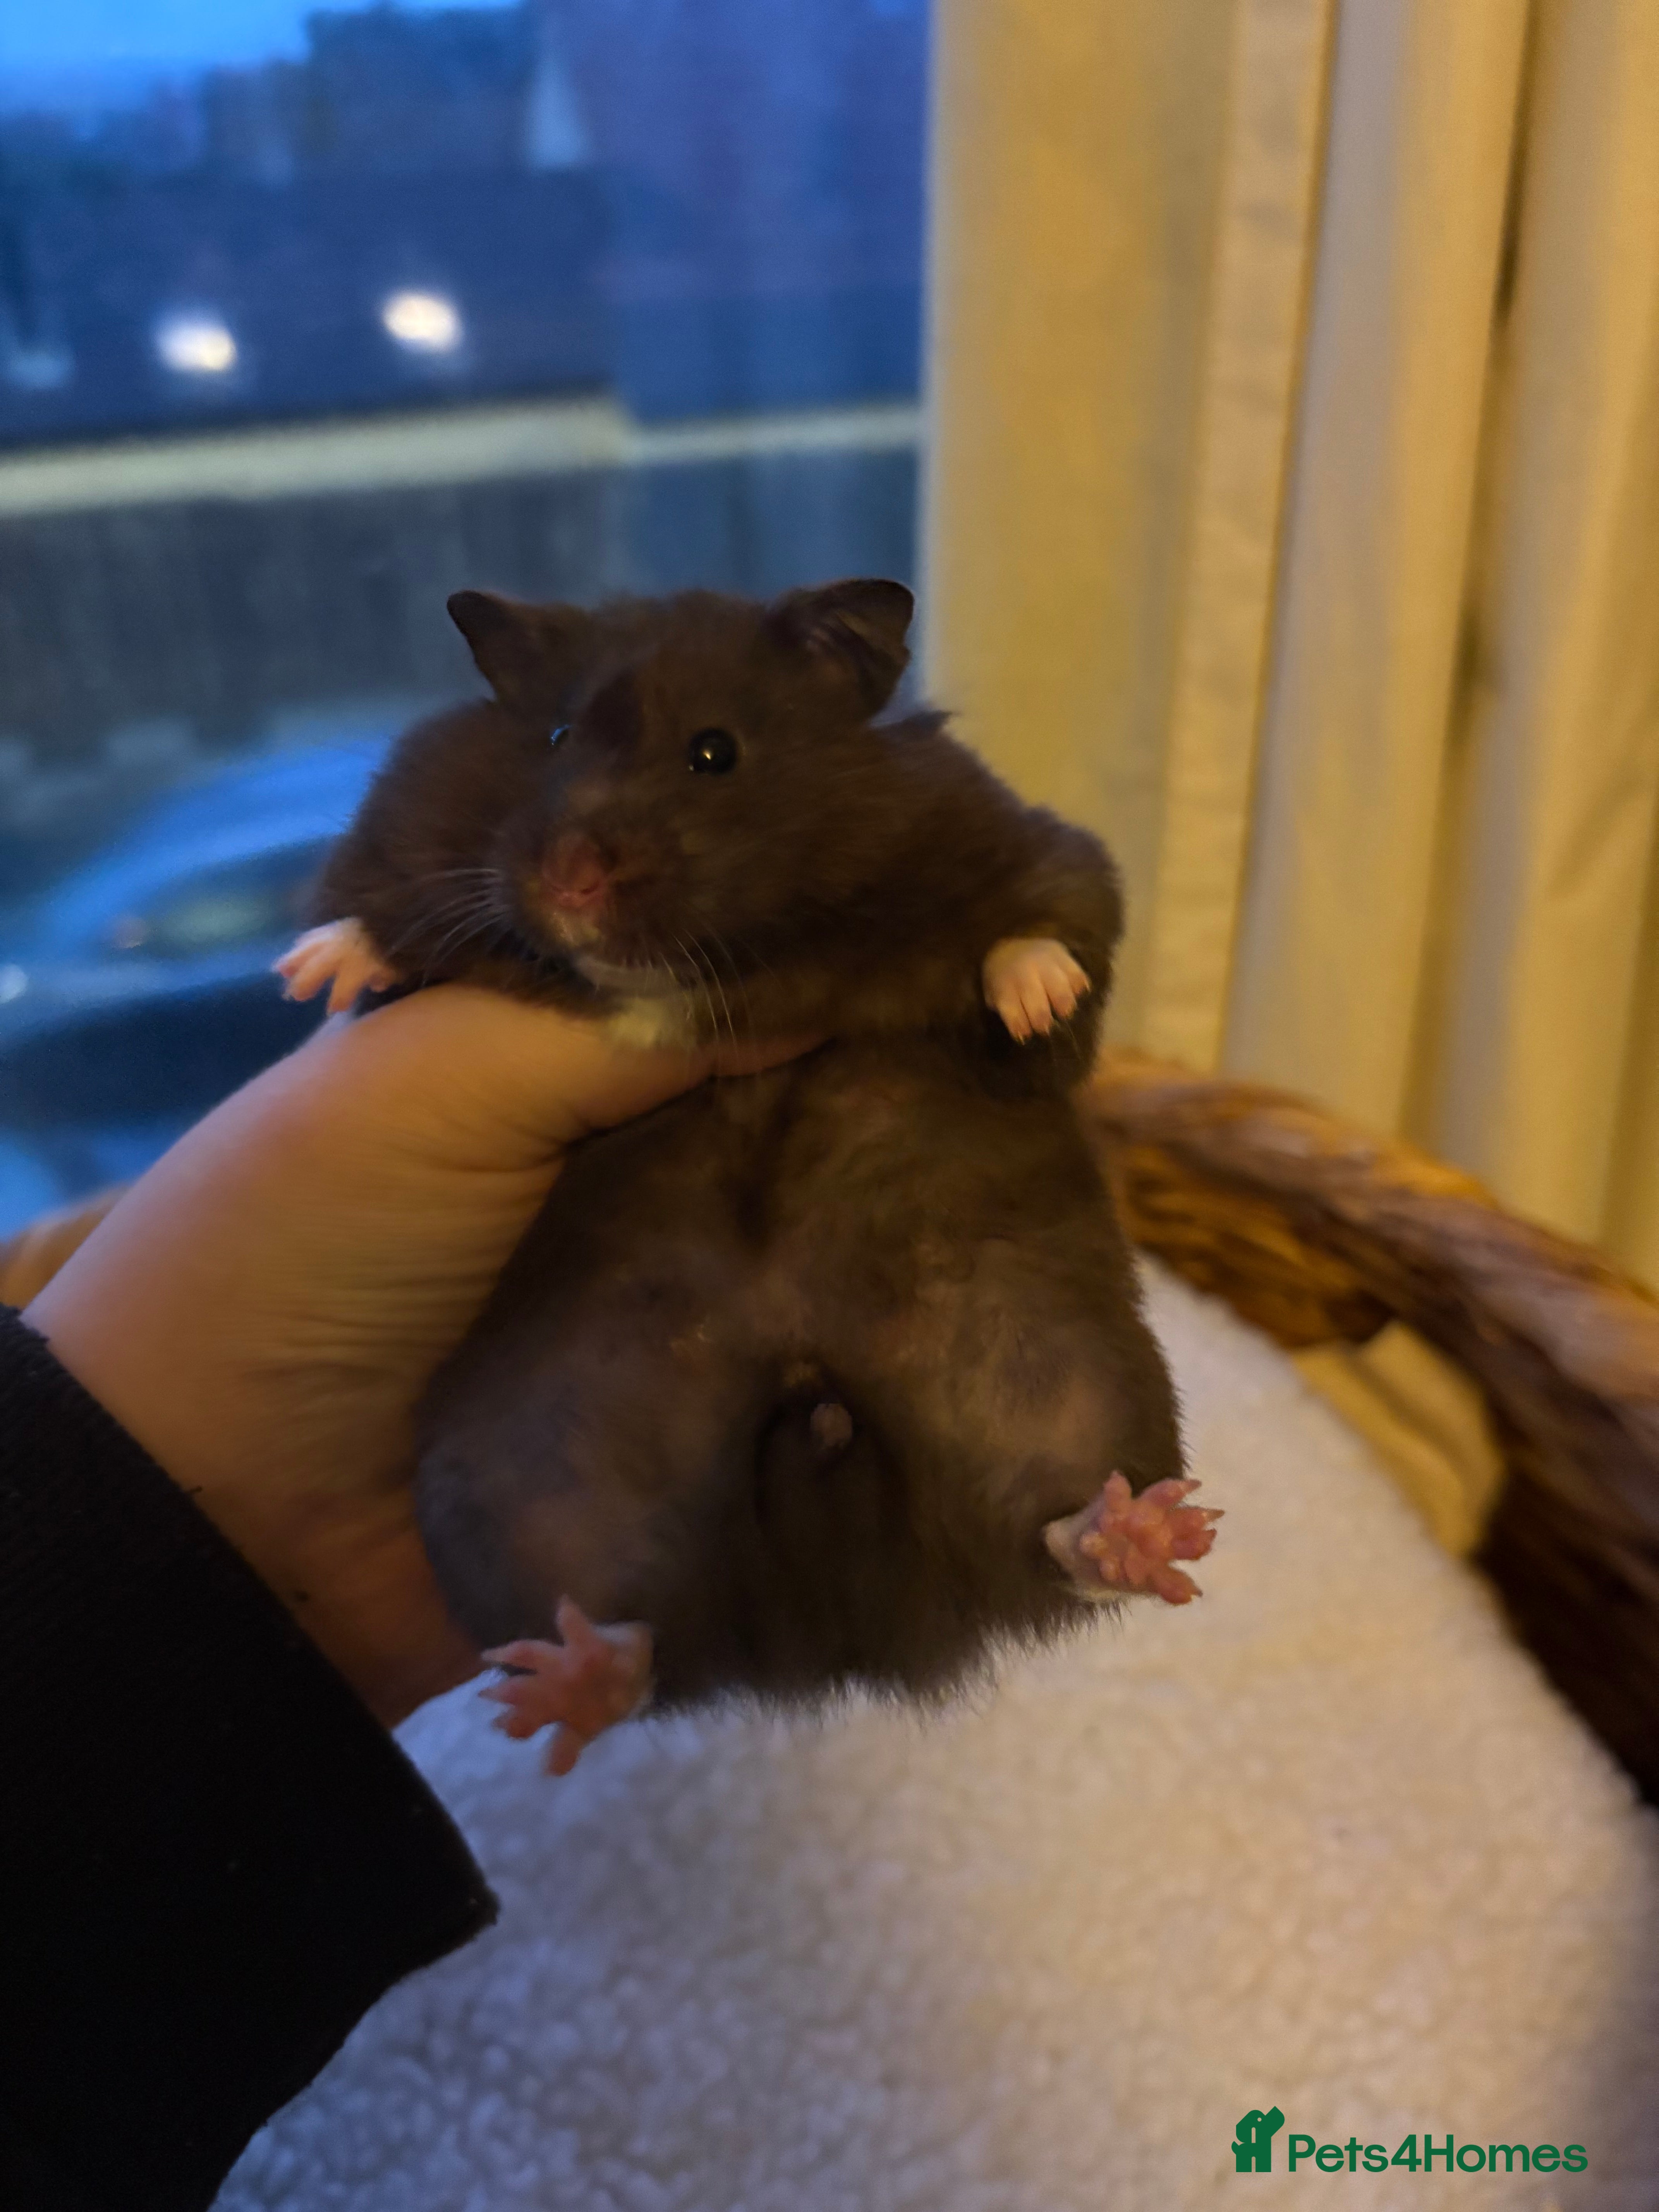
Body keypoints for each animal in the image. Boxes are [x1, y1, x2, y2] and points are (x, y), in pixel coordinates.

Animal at [283, 579, 1215, 1771]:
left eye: (714, 753)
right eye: (554, 740)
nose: (569, 880)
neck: (736, 956)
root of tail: (822, 1627)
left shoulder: (1015, 839)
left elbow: (1033, 928)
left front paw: (1034, 996)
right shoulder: (413, 822)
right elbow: (371, 913)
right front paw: (312, 973)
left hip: (1065, 1378)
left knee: (1055, 1535)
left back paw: (1143, 1531)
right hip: (514, 1474)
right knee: (638, 1637)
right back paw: (575, 1683)